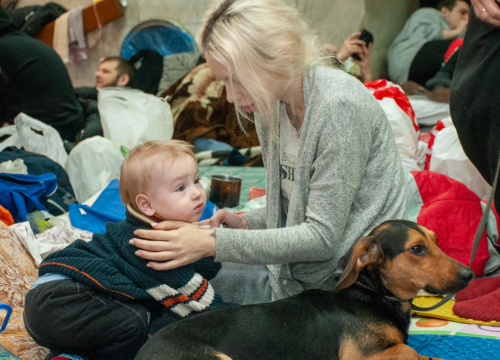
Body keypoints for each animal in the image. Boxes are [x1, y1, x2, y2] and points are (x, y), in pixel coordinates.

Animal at [135, 219, 474, 360]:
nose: (470, 274)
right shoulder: (362, 357)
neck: (372, 294)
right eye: (417, 249)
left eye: (436, 241)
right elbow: (413, 352)